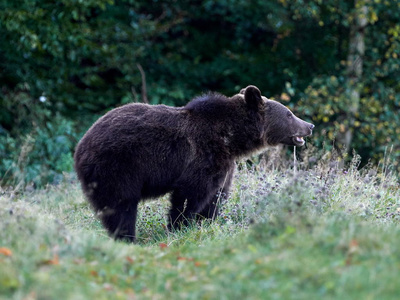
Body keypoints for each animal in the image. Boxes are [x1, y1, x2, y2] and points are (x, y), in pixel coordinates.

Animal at [74, 84, 312, 241]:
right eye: (289, 114)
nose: (310, 125)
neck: (232, 138)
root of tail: (81, 146)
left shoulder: (225, 164)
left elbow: (217, 196)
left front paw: (206, 222)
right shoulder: (202, 156)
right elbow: (191, 194)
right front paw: (179, 227)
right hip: (118, 166)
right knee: (121, 206)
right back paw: (127, 237)